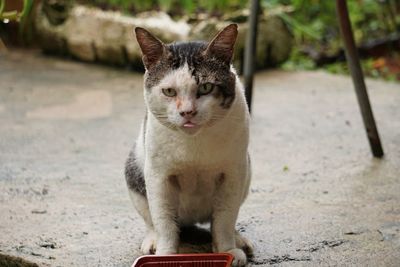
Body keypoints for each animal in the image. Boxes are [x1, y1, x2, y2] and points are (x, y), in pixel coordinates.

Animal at [124, 24, 253, 266]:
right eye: (169, 91)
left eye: (206, 87)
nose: (187, 112)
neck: (194, 144)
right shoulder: (158, 176)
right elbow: (163, 221)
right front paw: (165, 255)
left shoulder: (233, 173)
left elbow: (225, 218)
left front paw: (228, 250)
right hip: (133, 170)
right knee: (152, 220)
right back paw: (152, 240)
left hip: (247, 171)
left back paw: (238, 240)